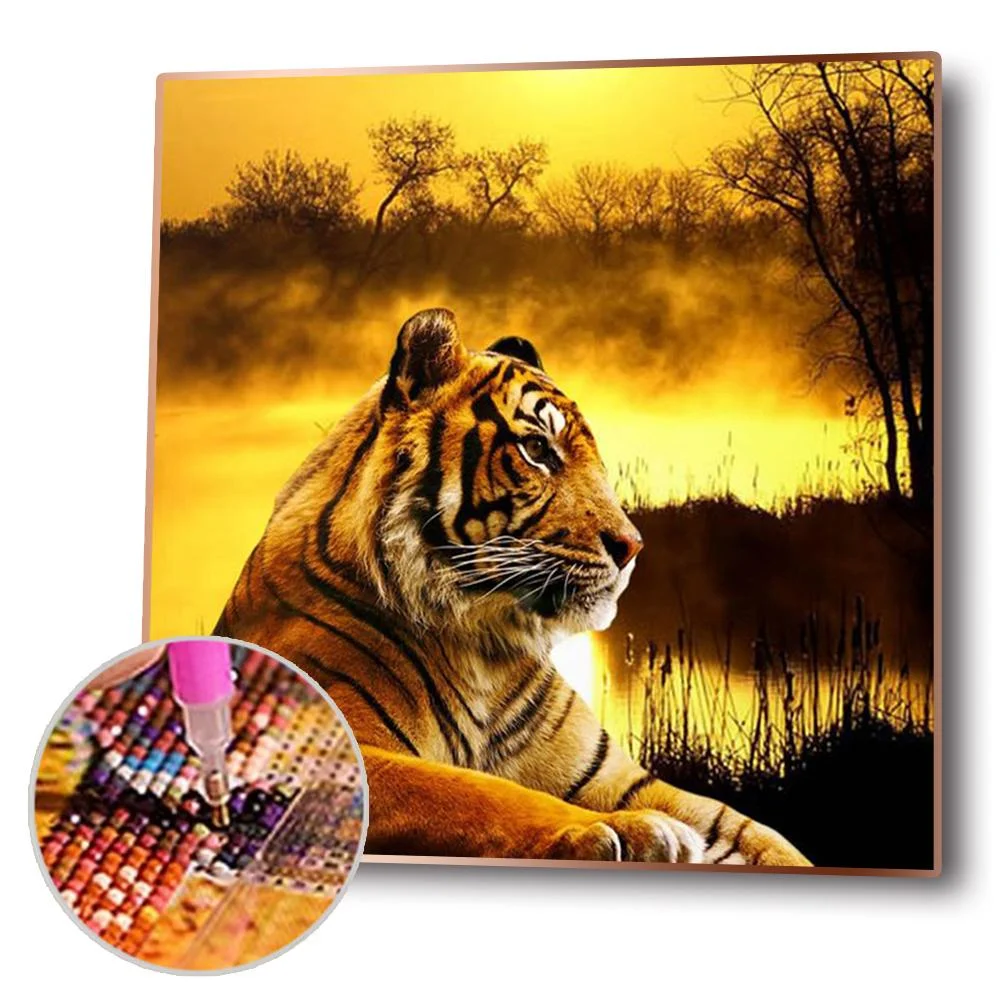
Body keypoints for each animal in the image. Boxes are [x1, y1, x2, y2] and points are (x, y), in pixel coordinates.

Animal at [215, 307, 811, 866]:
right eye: (537, 450)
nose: (632, 546)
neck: (483, 647)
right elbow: (477, 792)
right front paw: (626, 830)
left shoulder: (612, 776)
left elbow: (754, 831)